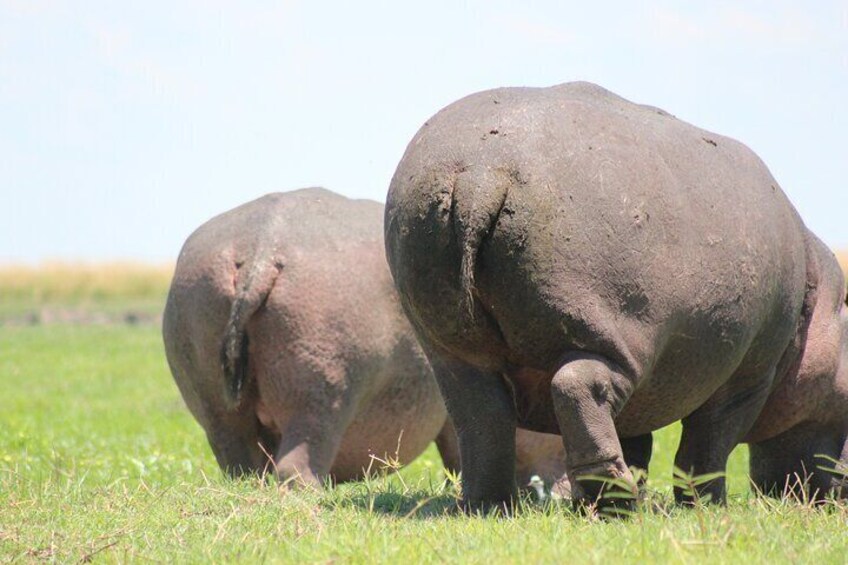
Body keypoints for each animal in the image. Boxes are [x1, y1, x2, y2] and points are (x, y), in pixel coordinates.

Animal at [163, 188, 570, 494]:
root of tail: (261, 249)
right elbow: (462, 452)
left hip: (211, 384)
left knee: (241, 462)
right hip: (322, 393)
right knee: (298, 464)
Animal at [384, 82, 847, 512]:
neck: (817, 299)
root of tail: (483, 173)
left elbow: (638, 440)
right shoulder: (748, 377)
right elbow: (707, 448)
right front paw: (709, 507)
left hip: (452, 347)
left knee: (481, 418)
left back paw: (490, 506)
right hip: (609, 331)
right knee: (579, 387)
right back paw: (614, 498)